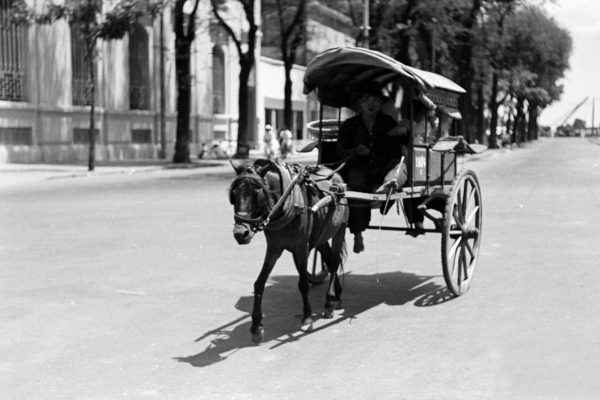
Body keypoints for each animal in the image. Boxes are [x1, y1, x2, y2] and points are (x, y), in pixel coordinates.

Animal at [230, 158, 352, 342]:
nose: (240, 233)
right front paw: (256, 327)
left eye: (258, 194)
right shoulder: (274, 248)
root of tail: (336, 176)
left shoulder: (301, 248)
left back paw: (329, 302)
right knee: (330, 260)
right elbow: (259, 283)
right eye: (234, 194)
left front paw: (307, 318)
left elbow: (303, 283)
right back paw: (336, 296)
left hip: (340, 228)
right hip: (321, 234)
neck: (286, 203)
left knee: (334, 261)